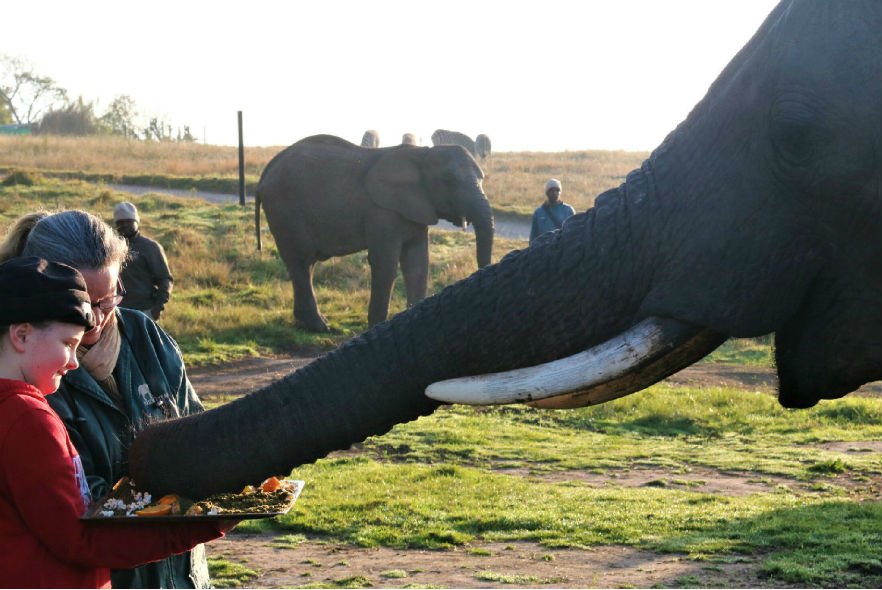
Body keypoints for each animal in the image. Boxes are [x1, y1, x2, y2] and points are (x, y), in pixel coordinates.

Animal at [253, 136, 496, 336]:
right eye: (449, 180)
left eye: (483, 178)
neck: (422, 154)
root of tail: (265, 174)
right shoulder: (382, 212)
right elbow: (385, 263)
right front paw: (377, 327)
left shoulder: (416, 209)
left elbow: (417, 263)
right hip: (285, 210)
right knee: (302, 261)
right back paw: (319, 327)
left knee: (304, 265)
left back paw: (307, 324)